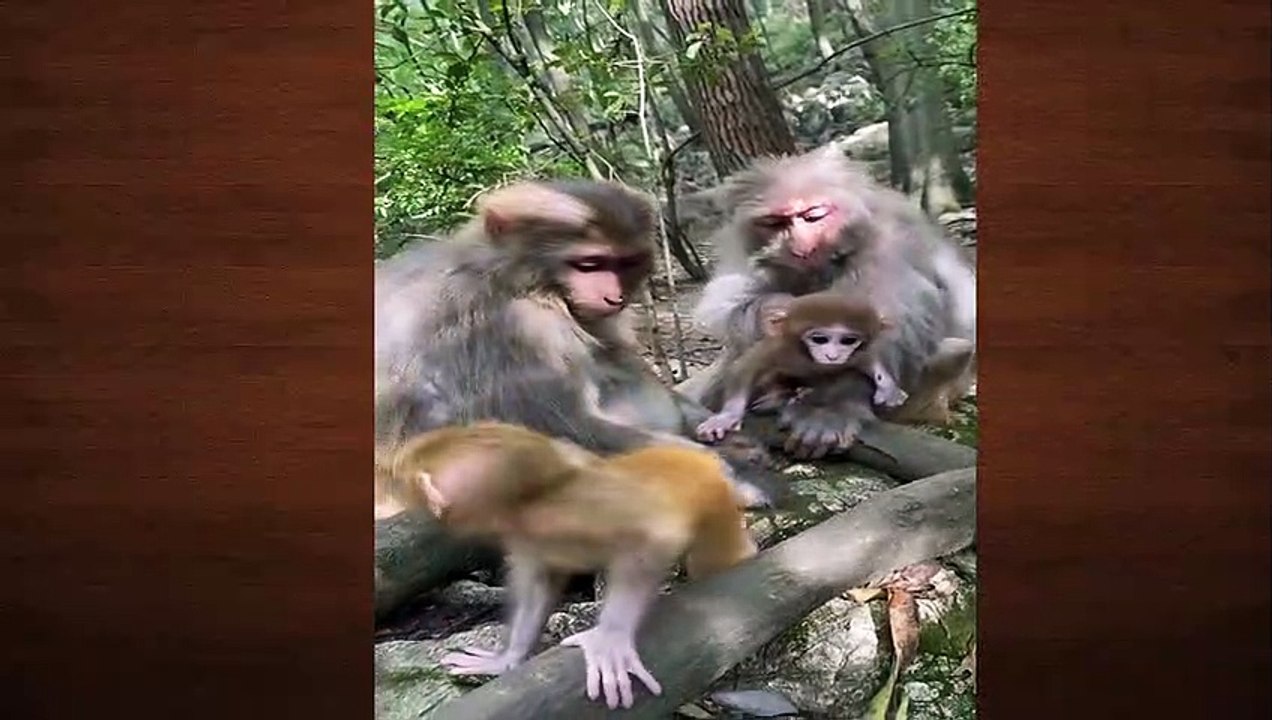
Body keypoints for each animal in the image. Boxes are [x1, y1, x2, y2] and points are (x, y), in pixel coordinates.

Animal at [375, 179, 780, 511]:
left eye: (626, 262)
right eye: (589, 263)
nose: (614, 296)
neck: (519, 278)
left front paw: (719, 430)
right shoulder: (521, 330)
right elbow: (568, 425)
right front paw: (729, 478)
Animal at [382, 421, 759, 710]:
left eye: (403, 475)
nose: (394, 476)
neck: (525, 502)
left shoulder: (564, 511)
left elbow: (653, 535)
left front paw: (610, 638)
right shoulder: (524, 536)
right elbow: (539, 582)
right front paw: (506, 658)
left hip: (714, 502)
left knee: (714, 560)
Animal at [695, 291, 907, 442]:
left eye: (848, 340)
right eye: (820, 339)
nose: (832, 355)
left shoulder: (854, 354)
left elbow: (868, 360)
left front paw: (888, 387)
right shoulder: (779, 347)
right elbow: (745, 368)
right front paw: (726, 417)